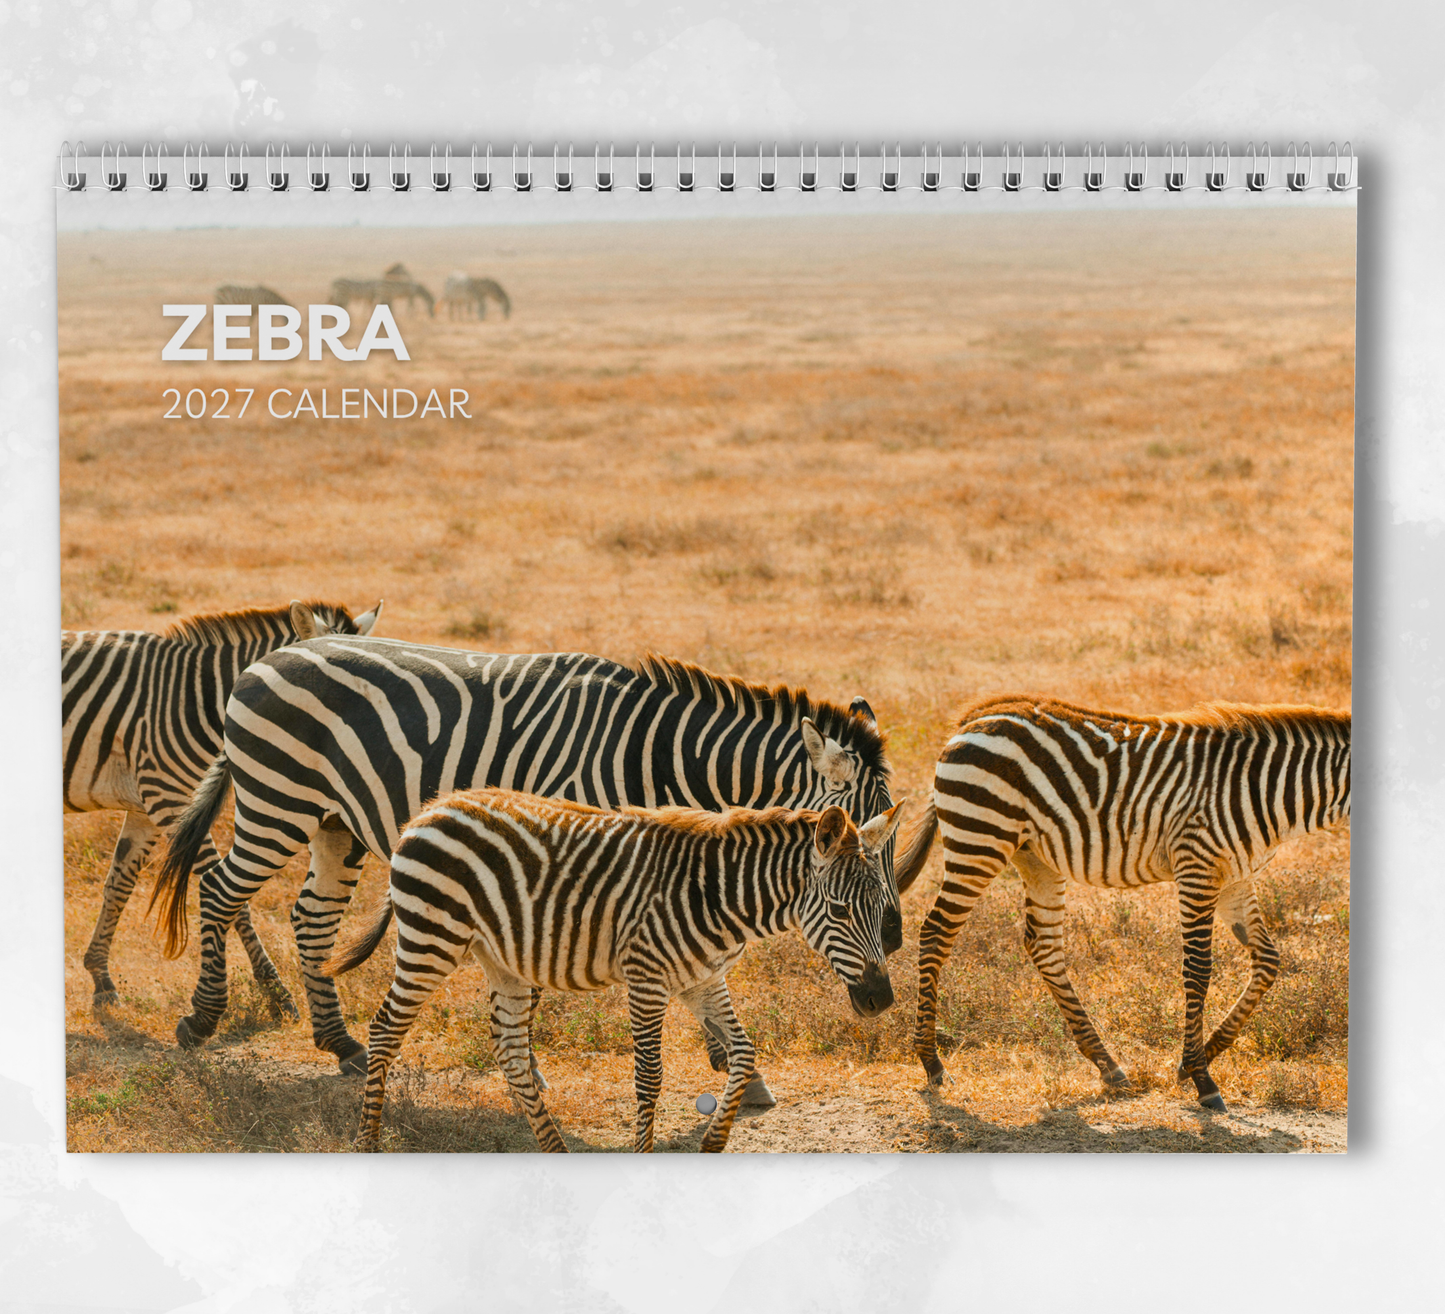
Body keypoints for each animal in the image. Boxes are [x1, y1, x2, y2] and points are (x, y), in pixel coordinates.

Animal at [62, 598, 382, 1009]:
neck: (199, 696)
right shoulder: (170, 799)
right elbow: (235, 900)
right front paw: (274, 989)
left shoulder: (145, 809)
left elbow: (118, 885)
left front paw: (100, 976)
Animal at [152, 639, 896, 1106]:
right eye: (858, 835)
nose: (891, 937)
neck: (654, 758)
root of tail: (270, 654)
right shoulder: (562, 854)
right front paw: (530, 1069)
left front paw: (738, 1068)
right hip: (277, 801)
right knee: (219, 891)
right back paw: (201, 1020)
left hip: (335, 822)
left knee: (311, 917)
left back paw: (340, 1043)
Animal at [327, 790, 904, 1152]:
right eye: (840, 912)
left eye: (880, 908)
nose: (881, 1001)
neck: (720, 897)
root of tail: (429, 811)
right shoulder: (647, 978)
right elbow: (649, 1076)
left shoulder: (704, 981)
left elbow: (743, 1054)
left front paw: (713, 1143)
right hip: (431, 939)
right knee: (384, 1029)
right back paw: (367, 1142)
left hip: (501, 959)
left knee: (510, 1051)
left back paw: (555, 1150)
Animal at [891, 695, 1351, 1112]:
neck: (1271, 788)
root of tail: (977, 714)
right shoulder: (1197, 865)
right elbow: (1199, 969)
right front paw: (1201, 1077)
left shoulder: (1236, 879)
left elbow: (1269, 960)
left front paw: (1198, 1058)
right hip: (980, 839)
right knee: (935, 933)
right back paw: (932, 1063)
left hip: (1034, 856)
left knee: (1043, 946)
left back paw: (1107, 1064)